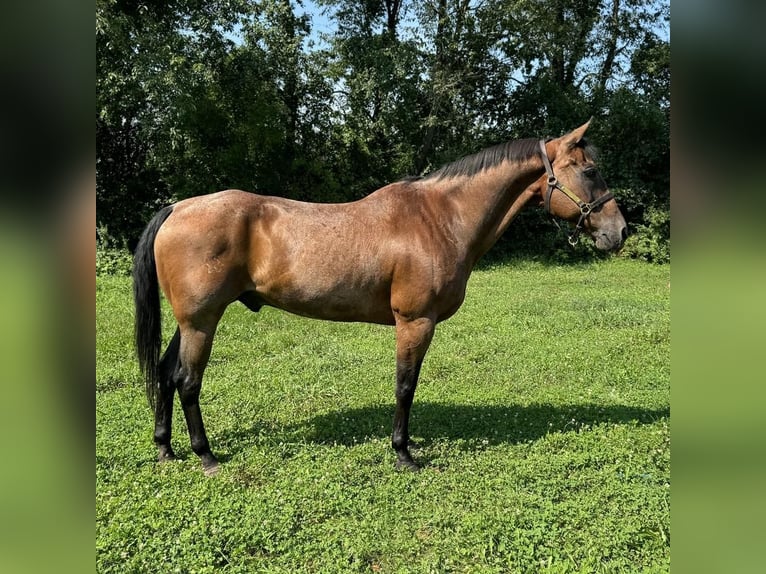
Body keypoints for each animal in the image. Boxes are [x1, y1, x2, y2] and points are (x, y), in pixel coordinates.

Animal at [134, 121, 632, 476]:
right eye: (589, 171)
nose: (621, 231)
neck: (440, 217)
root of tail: (177, 208)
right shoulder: (415, 321)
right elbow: (405, 386)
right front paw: (403, 453)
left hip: (190, 322)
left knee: (165, 372)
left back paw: (166, 449)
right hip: (202, 322)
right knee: (187, 382)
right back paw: (205, 456)